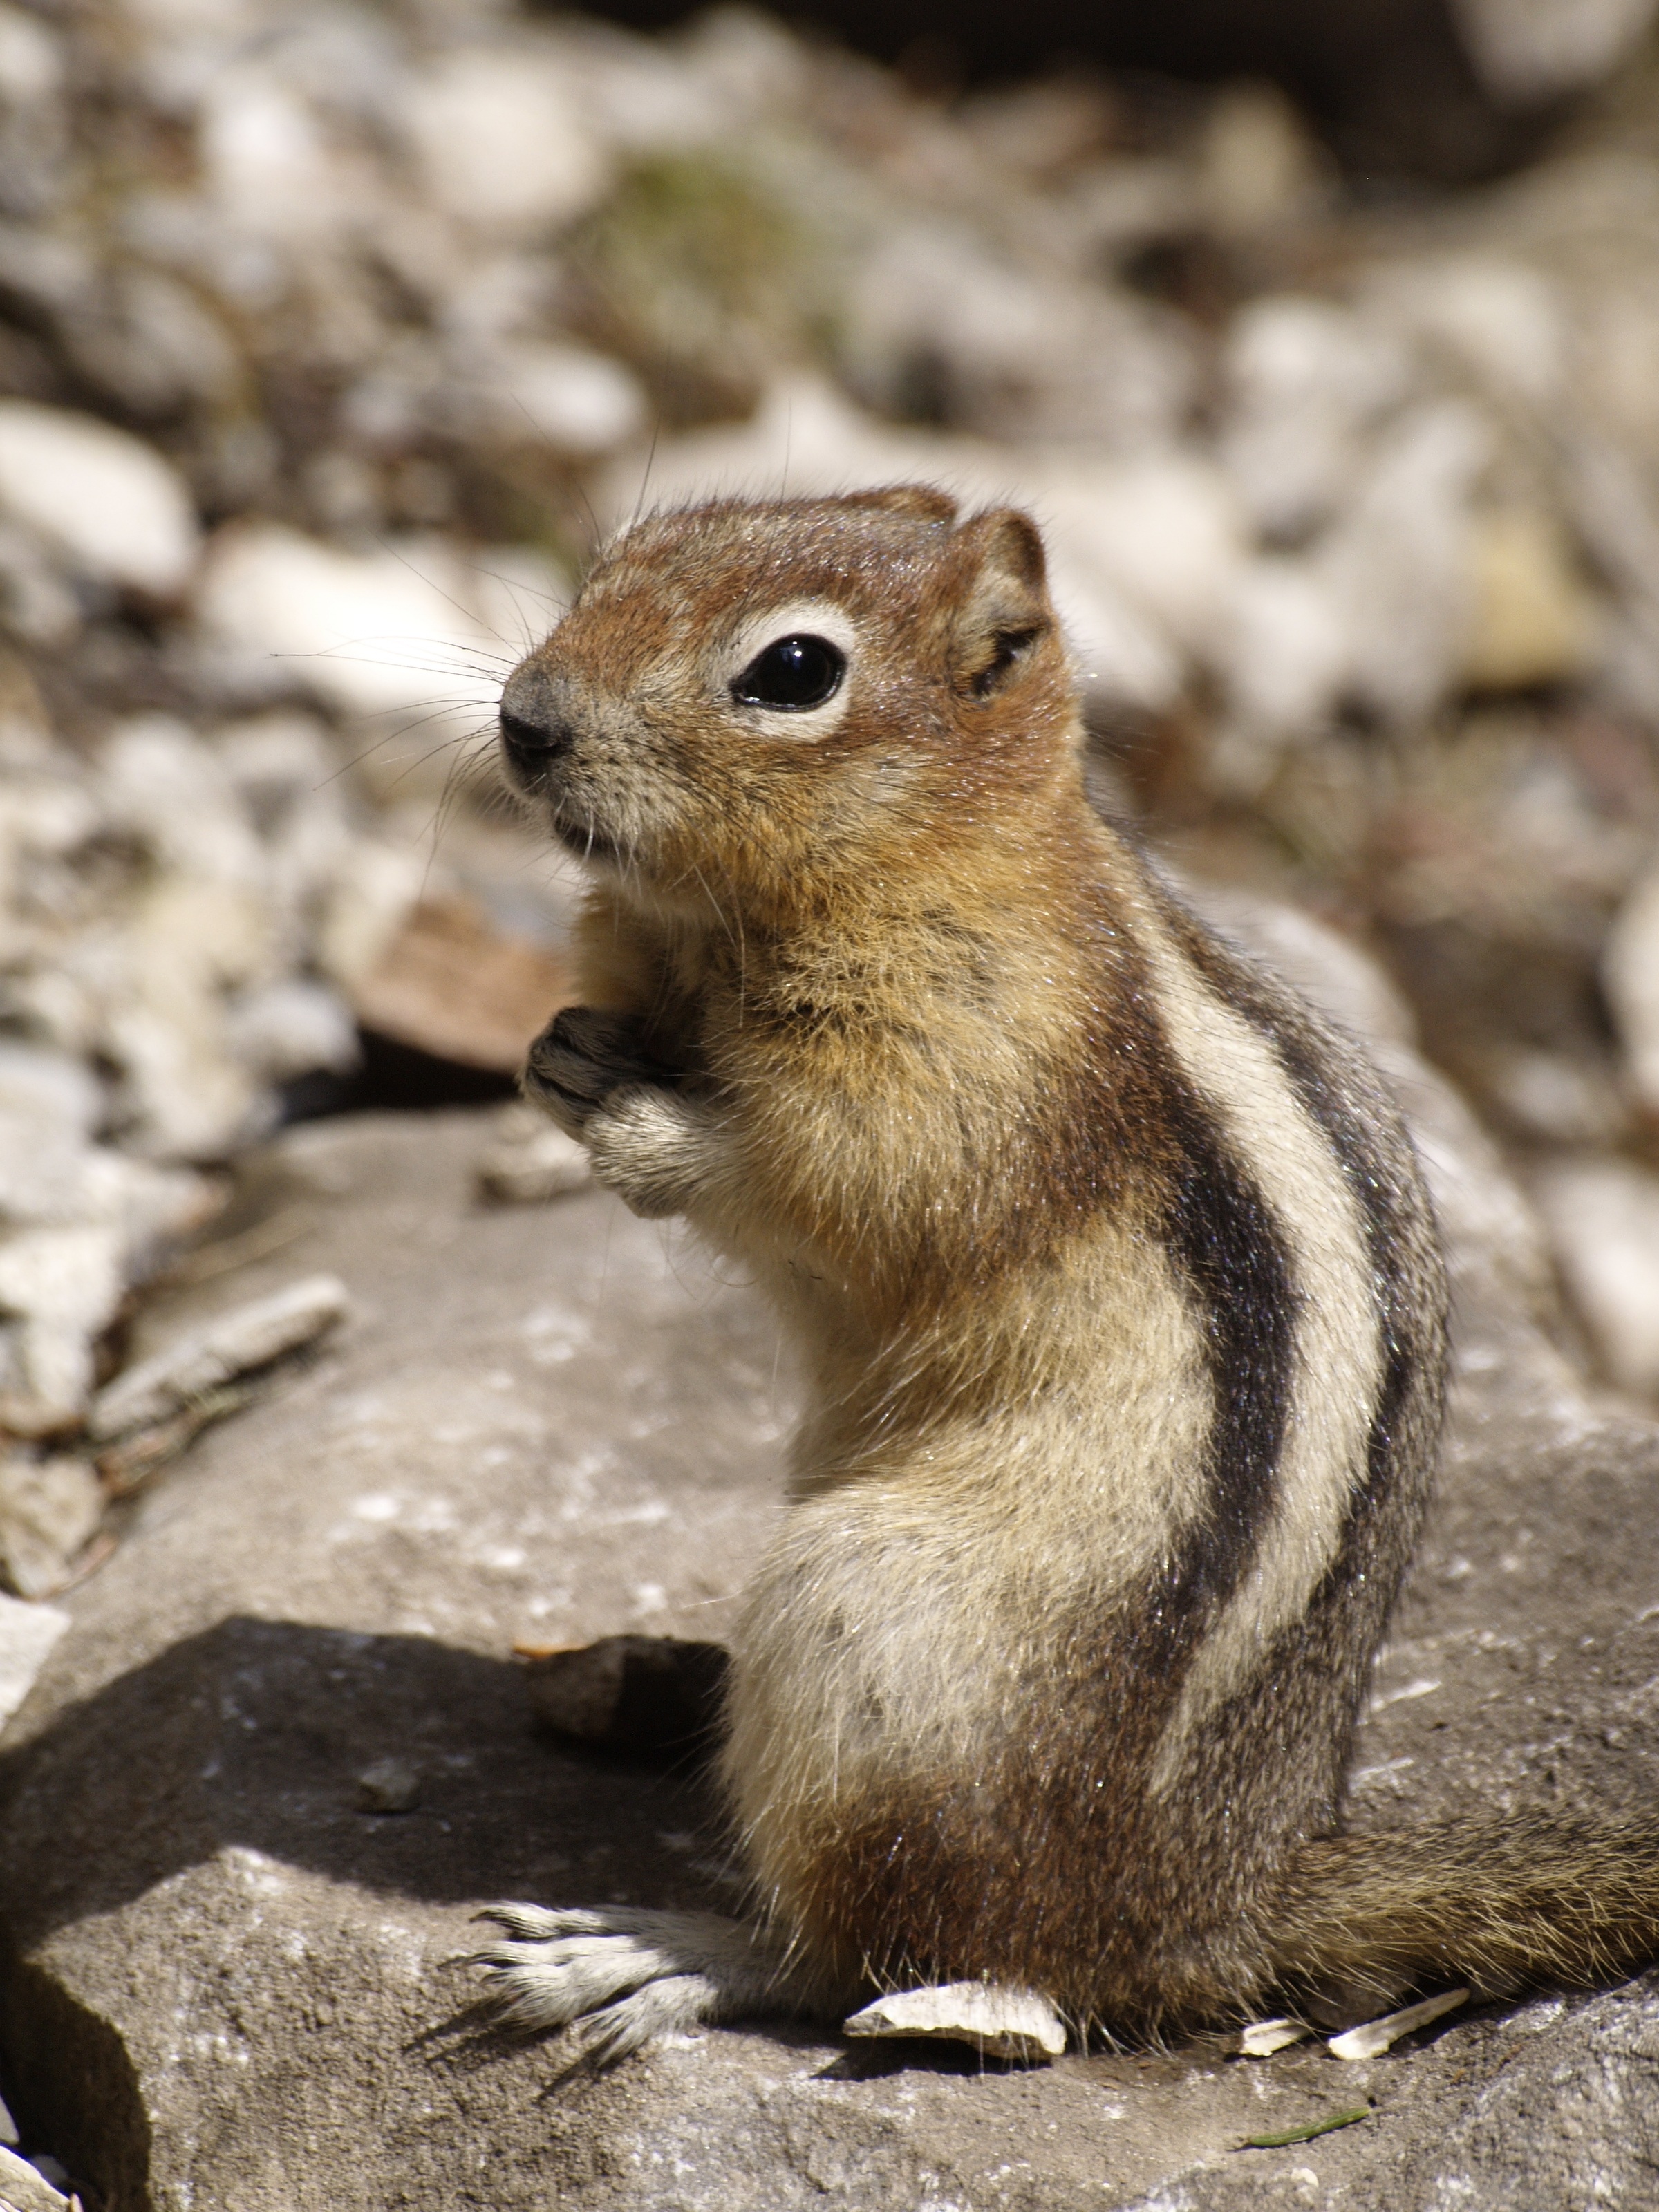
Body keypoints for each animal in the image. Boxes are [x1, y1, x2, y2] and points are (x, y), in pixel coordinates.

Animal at [478, 484, 1659, 2052]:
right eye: (619, 556)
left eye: (793, 671)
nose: (523, 720)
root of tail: (1205, 1904)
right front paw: (556, 1060)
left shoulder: (964, 1076)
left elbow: (817, 1175)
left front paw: (643, 1131)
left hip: (871, 1635)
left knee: (869, 1947)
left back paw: (655, 1951)